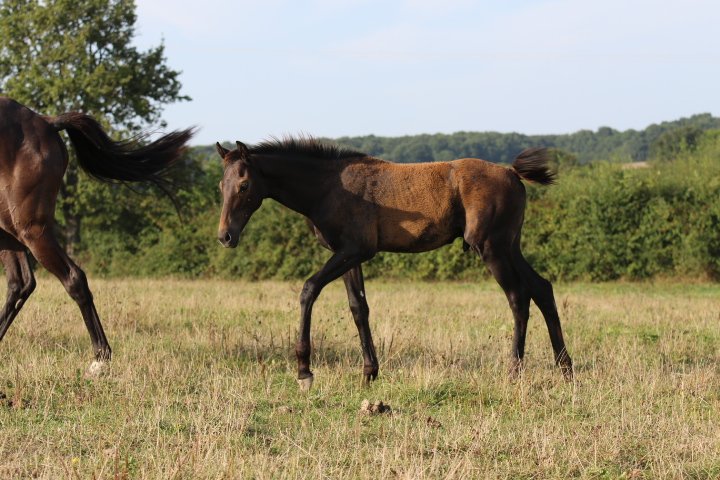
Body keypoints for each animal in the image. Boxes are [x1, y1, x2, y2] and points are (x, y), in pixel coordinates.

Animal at [0, 97, 194, 376]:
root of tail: (46, 122)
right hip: (9, 230)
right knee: (20, 283)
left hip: (31, 229)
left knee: (71, 278)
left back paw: (100, 359)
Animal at [215, 137, 573, 390]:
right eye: (221, 185)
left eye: (244, 185)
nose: (226, 236)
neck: (328, 187)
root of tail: (512, 173)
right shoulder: (350, 255)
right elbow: (358, 308)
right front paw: (369, 373)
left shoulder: (354, 251)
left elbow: (309, 289)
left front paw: (304, 371)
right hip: (509, 245)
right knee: (542, 288)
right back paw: (565, 368)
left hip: (491, 247)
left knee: (518, 296)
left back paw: (514, 371)